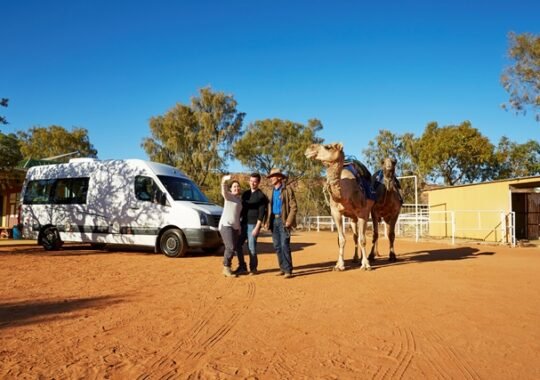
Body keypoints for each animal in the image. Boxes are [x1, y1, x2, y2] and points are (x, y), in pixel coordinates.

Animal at [304, 142, 376, 270]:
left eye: (328, 147)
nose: (309, 148)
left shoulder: (362, 212)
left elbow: (363, 239)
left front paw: (366, 265)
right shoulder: (335, 212)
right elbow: (341, 239)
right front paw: (339, 265)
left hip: (368, 211)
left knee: (364, 235)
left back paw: (365, 259)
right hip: (352, 217)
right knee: (355, 236)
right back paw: (355, 258)